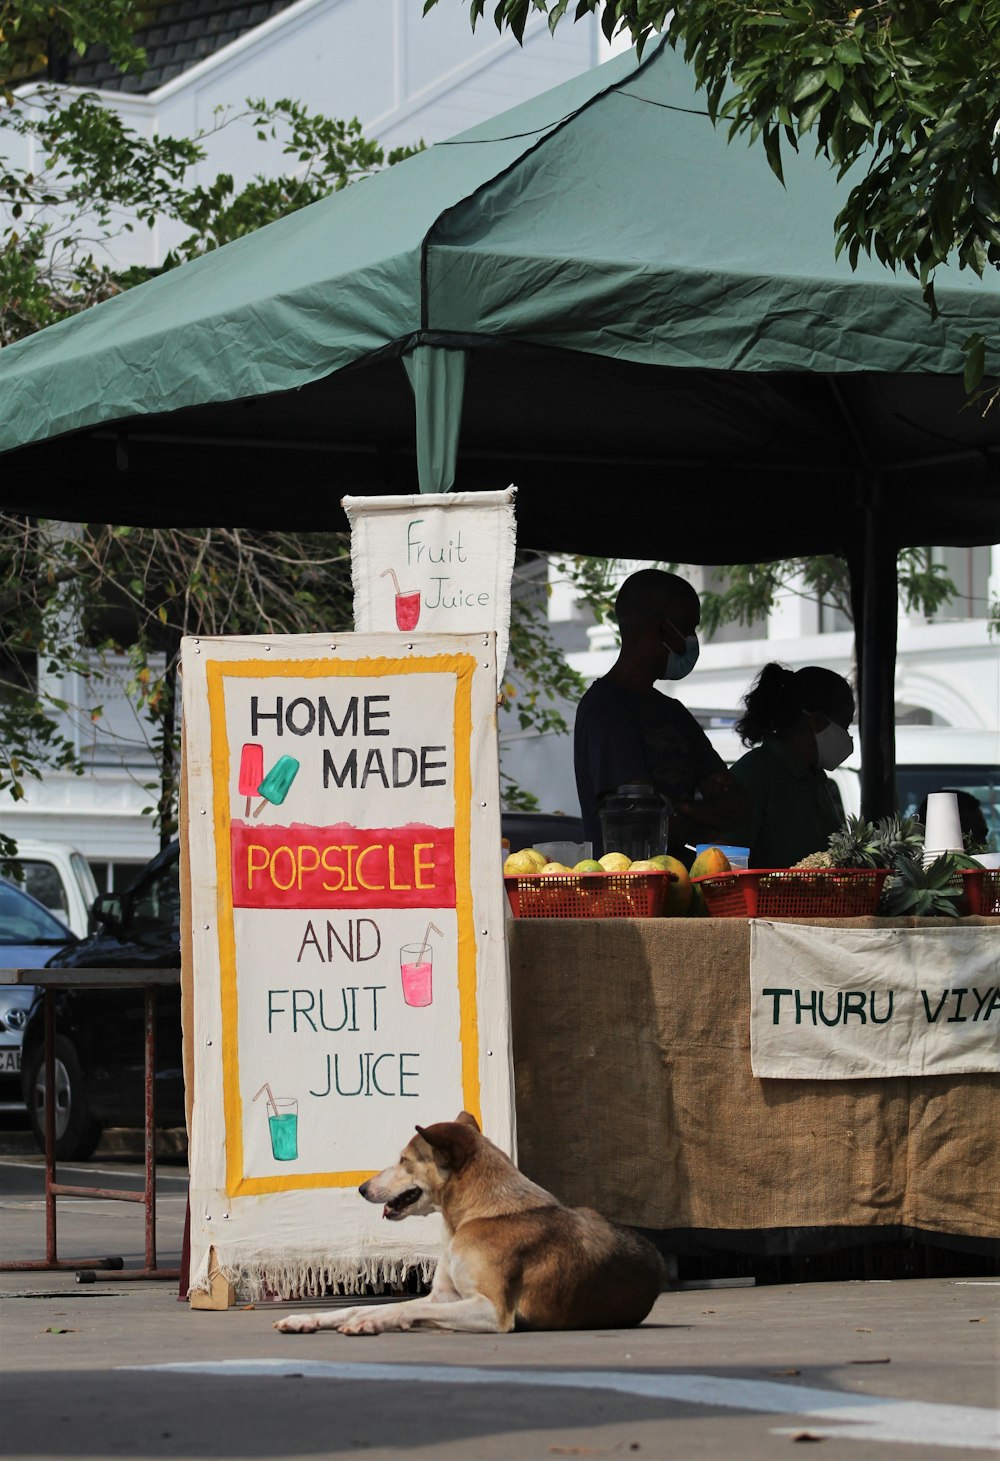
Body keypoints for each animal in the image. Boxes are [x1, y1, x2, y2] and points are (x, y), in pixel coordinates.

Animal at [273, 1104, 663, 1338]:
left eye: (403, 1161)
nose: (362, 1188)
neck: (472, 1218)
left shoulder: (493, 1311)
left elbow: (399, 1308)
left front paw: (370, 1321)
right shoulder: (443, 1298)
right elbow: (367, 1304)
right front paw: (308, 1319)